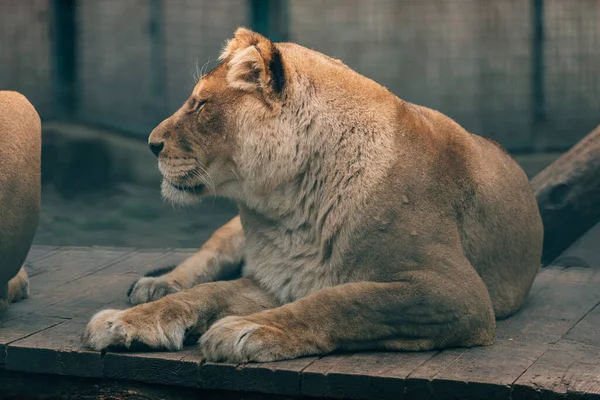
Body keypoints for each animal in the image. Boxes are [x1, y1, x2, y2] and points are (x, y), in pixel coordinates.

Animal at [82, 28, 548, 362]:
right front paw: (125, 321)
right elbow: (205, 293)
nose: (151, 144)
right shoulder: (276, 278)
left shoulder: (456, 291)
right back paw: (157, 285)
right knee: (203, 261)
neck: (288, 210)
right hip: (229, 235)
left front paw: (246, 328)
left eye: (200, 105)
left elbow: (345, 300)